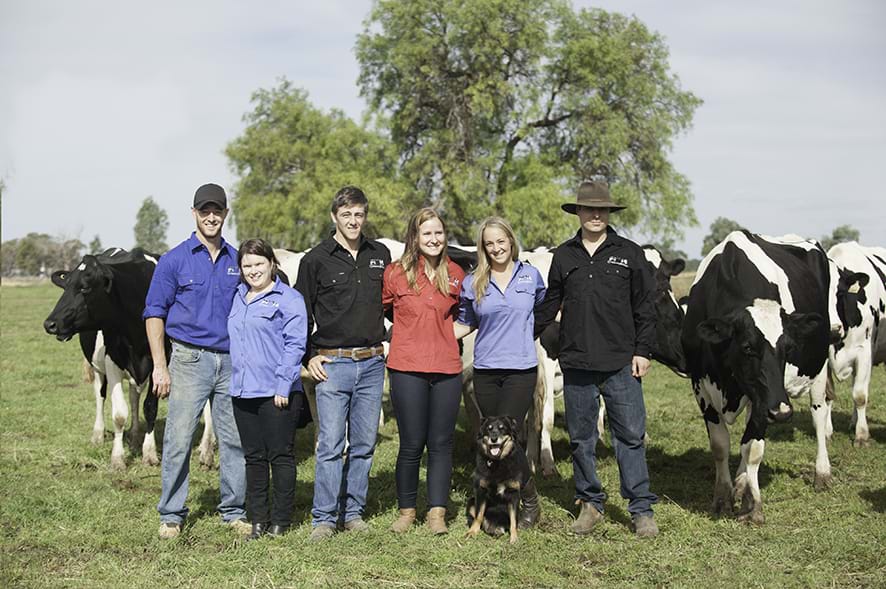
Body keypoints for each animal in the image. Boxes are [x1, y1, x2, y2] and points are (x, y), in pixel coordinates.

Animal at [44, 248, 216, 470]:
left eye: (85, 288)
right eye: (65, 286)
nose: (50, 324)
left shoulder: (161, 363)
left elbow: (149, 407)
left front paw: (149, 453)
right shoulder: (112, 361)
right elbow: (119, 414)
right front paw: (118, 458)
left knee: (135, 396)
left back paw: (136, 436)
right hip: (98, 368)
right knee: (100, 395)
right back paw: (98, 435)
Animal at [681, 230, 842, 524]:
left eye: (788, 348)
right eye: (747, 347)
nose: (782, 412)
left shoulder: (766, 398)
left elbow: (753, 448)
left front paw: (752, 504)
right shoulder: (701, 386)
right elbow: (720, 445)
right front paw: (724, 497)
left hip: (818, 366)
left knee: (819, 414)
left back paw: (822, 473)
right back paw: (741, 480)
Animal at [827, 241, 886, 447]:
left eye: (840, 292)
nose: (831, 329)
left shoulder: (864, 352)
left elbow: (860, 395)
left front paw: (861, 436)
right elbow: (828, 395)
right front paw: (826, 432)